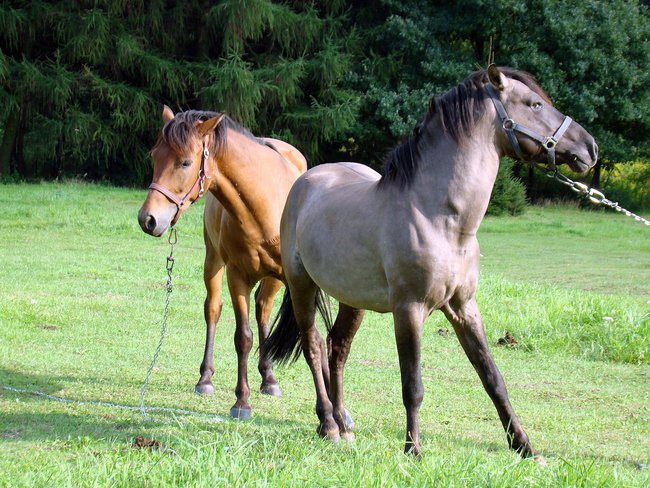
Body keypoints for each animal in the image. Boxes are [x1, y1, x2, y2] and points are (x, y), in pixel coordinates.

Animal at [138, 107, 306, 420]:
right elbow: (243, 338)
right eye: (154, 156)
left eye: (185, 162)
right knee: (213, 310)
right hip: (213, 262)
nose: (148, 219)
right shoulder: (236, 277)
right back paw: (205, 378)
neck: (263, 203)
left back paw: (269, 378)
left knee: (263, 310)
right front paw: (242, 401)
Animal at [264, 66, 596, 462]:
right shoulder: (410, 310)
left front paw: (524, 447)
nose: (589, 148)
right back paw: (328, 423)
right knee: (314, 346)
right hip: (302, 286)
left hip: (352, 299)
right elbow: (413, 384)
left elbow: (492, 378)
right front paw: (413, 449)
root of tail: (305, 181)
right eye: (534, 104)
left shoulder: (464, 307)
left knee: (337, 349)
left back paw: (344, 425)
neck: (439, 217)